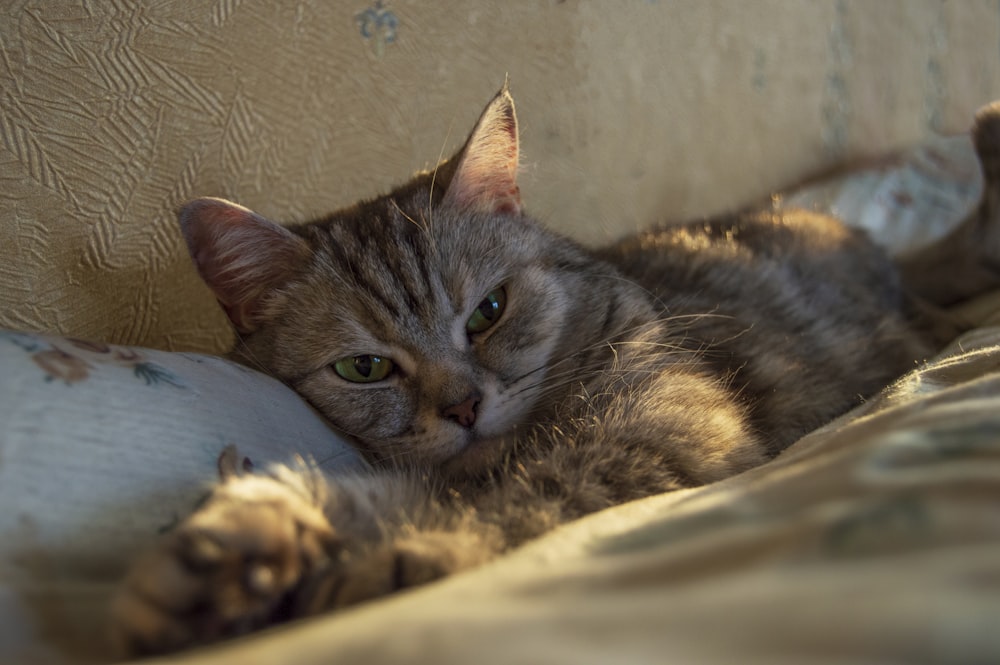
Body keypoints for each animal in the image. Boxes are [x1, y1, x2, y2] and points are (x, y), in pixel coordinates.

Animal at [107, 84, 1000, 652]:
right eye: (364, 367)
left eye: (488, 312)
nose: (463, 406)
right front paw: (230, 550)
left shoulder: (665, 425)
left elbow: (526, 500)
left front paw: (386, 558)